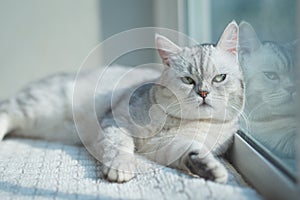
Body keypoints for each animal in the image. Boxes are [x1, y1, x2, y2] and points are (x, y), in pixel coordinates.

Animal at [0, 21, 244, 184]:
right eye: (188, 80)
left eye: (219, 78)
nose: (203, 92)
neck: (179, 121)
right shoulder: (116, 121)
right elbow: (120, 147)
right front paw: (121, 168)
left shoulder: (168, 147)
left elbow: (192, 152)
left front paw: (211, 170)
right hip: (36, 106)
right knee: (5, 112)